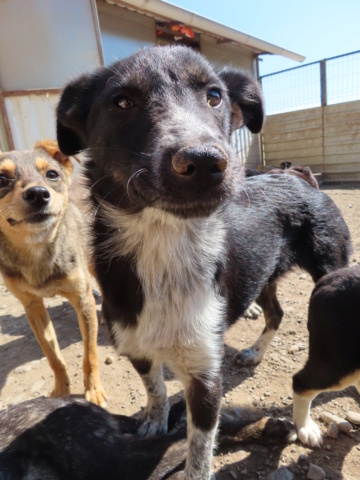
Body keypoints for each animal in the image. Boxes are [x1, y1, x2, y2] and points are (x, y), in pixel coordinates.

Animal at [0, 141, 106, 406]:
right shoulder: (32, 306)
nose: (38, 193)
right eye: (1, 179)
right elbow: (52, 355)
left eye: (52, 174)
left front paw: (94, 390)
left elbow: (90, 354)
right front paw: (61, 389)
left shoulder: (82, 299)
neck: (37, 249)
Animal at [56, 46, 352, 480]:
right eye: (122, 102)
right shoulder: (135, 346)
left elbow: (199, 449)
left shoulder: (206, 377)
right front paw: (154, 420)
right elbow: (156, 388)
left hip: (331, 271)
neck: (164, 244)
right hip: (259, 274)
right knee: (276, 312)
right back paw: (255, 352)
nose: (204, 161)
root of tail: (299, 177)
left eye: (214, 96)